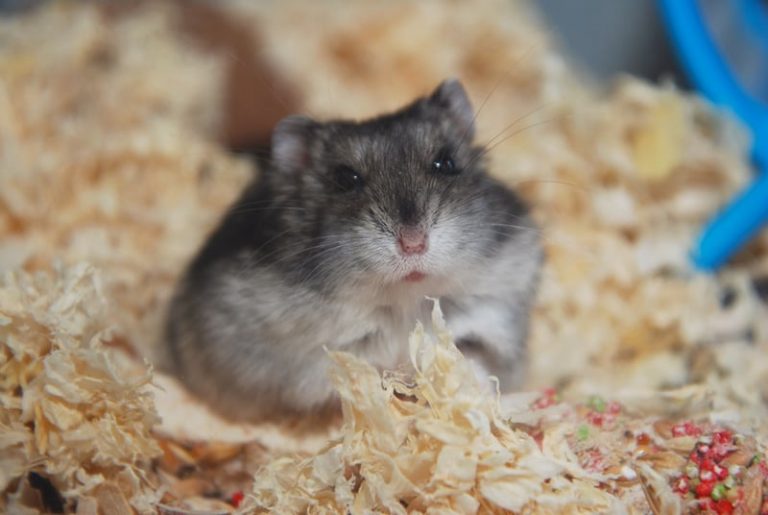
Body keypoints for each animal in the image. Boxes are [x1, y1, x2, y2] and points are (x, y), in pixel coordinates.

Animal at [164, 80, 542, 422]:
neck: (406, 300)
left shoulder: (490, 317)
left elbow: (471, 357)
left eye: (446, 163)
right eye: (346, 179)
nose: (413, 242)